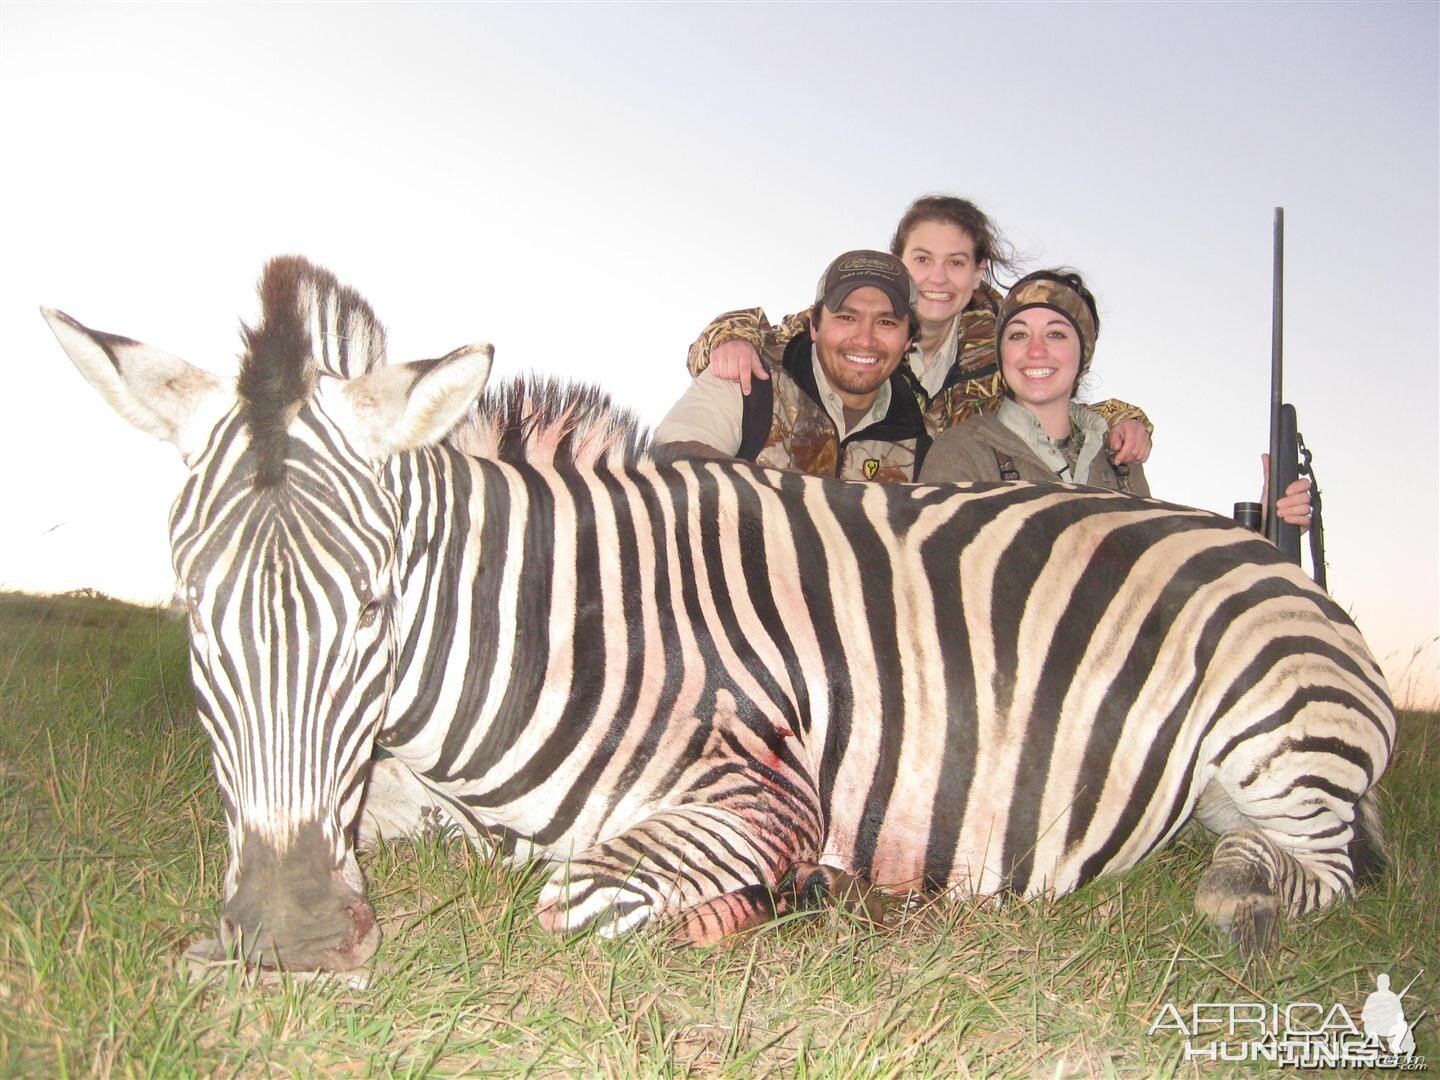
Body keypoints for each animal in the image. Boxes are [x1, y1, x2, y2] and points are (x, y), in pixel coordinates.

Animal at [45, 257, 1393, 979]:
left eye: (375, 605)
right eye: (192, 607)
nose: (290, 937)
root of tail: (1269, 558)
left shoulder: (762, 790)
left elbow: (583, 896)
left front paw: (792, 898)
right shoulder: (382, 793)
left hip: (1278, 740)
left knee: (1302, 872)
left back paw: (1242, 891)